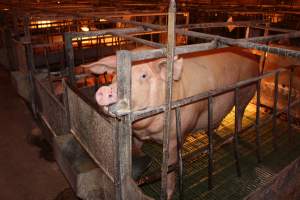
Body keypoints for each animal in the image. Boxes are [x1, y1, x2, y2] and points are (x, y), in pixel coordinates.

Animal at [91, 46, 258, 198]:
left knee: (240, 115)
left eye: (144, 75)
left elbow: (170, 168)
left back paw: (231, 139)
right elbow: (137, 148)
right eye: (115, 74)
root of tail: (251, 54)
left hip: (246, 91)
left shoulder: (176, 137)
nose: (105, 90)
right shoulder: (138, 135)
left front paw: (168, 194)